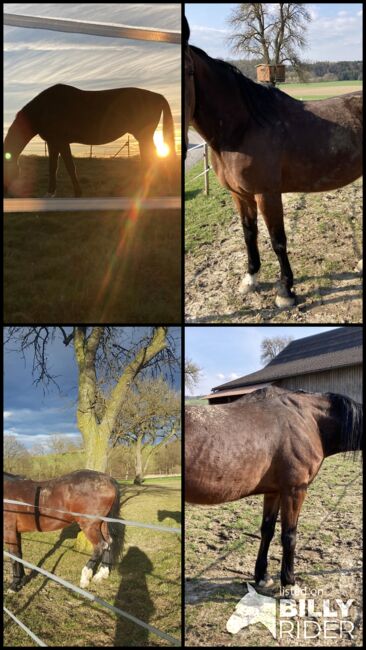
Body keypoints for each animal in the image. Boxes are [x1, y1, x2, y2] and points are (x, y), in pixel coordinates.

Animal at [3, 83, 176, 196]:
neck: (44, 108)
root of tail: (157, 96)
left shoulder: (60, 142)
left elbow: (69, 167)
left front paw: (76, 193)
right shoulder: (54, 144)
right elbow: (54, 168)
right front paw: (52, 193)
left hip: (143, 136)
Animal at [184, 17, 362, 306]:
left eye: (185, 71)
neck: (243, 127)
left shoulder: (267, 194)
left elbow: (278, 240)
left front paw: (285, 290)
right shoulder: (240, 195)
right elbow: (249, 234)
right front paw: (250, 279)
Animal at [186, 384, 364, 588]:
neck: (308, 420)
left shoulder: (274, 492)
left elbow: (267, 530)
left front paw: (262, 576)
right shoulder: (295, 491)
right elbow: (289, 536)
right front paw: (289, 582)